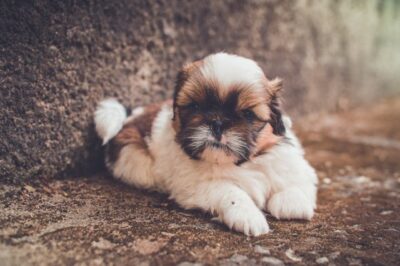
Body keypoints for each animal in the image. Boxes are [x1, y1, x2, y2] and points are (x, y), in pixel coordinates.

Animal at [95, 53, 318, 236]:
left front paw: (291, 201)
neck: (242, 164)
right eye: (195, 106)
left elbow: (296, 178)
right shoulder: (197, 185)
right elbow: (231, 191)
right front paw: (247, 215)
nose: (217, 123)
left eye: (247, 114)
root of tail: (130, 117)